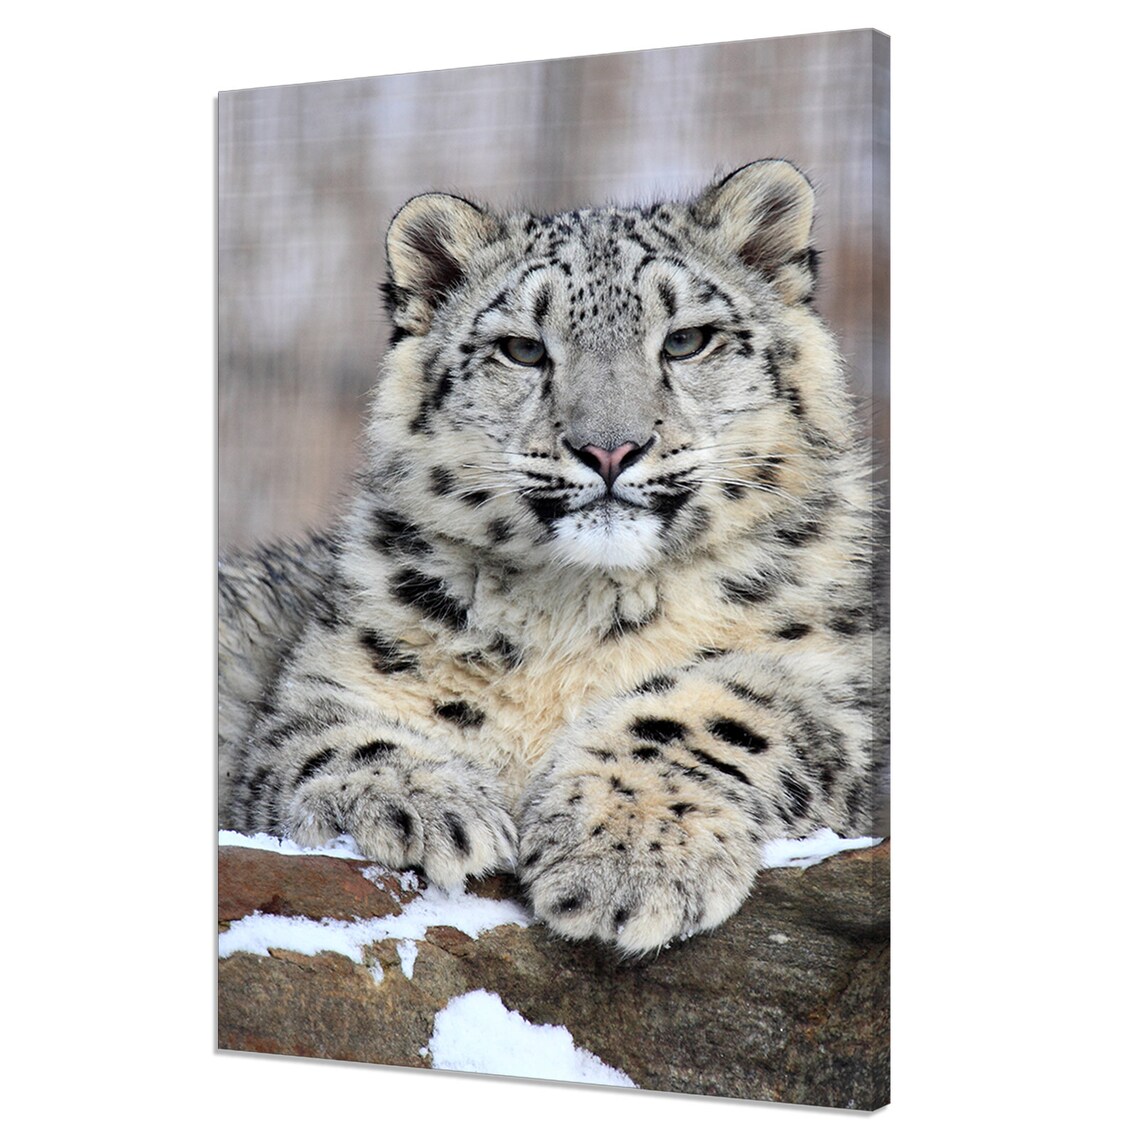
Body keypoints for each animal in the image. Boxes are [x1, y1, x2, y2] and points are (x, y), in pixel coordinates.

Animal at [218, 159, 885, 956]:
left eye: (687, 340)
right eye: (524, 349)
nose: (610, 448)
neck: (580, 615)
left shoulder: (829, 689)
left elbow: (715, 712)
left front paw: (627, 859)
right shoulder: (328, 679)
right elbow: (325, 737)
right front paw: (423, 805)